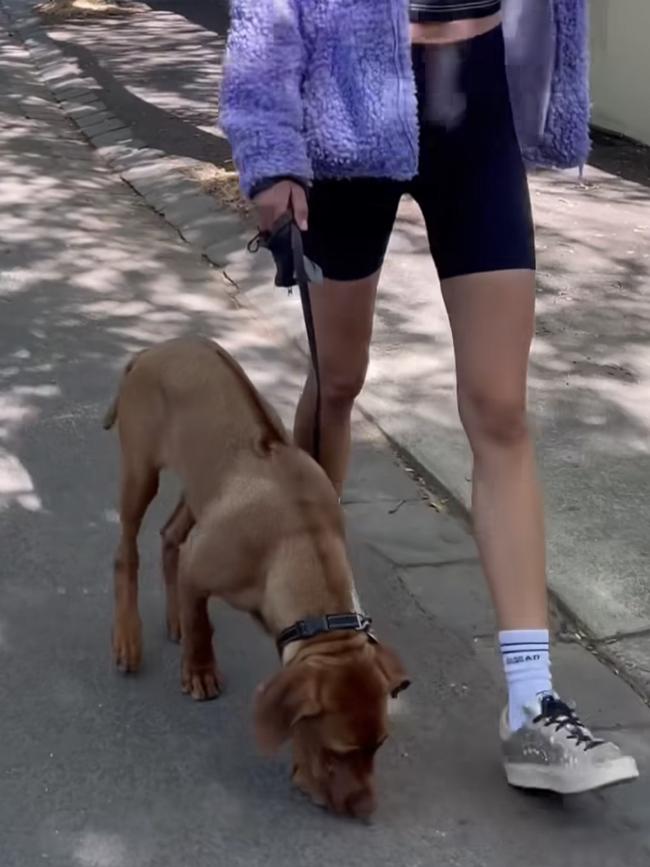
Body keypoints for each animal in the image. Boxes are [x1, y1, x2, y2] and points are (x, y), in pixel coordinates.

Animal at [105, 336, 410, 816]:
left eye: (378, 746)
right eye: (338, 751)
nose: (365, 809)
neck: (299, 539)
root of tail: (157, 348)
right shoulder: (201, 565)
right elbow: (203, 625)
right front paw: (200, 673)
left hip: (202, 488)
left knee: (170, 536)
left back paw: (173, 619)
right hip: (140, 471)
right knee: (126, 552)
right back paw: (128, 639)